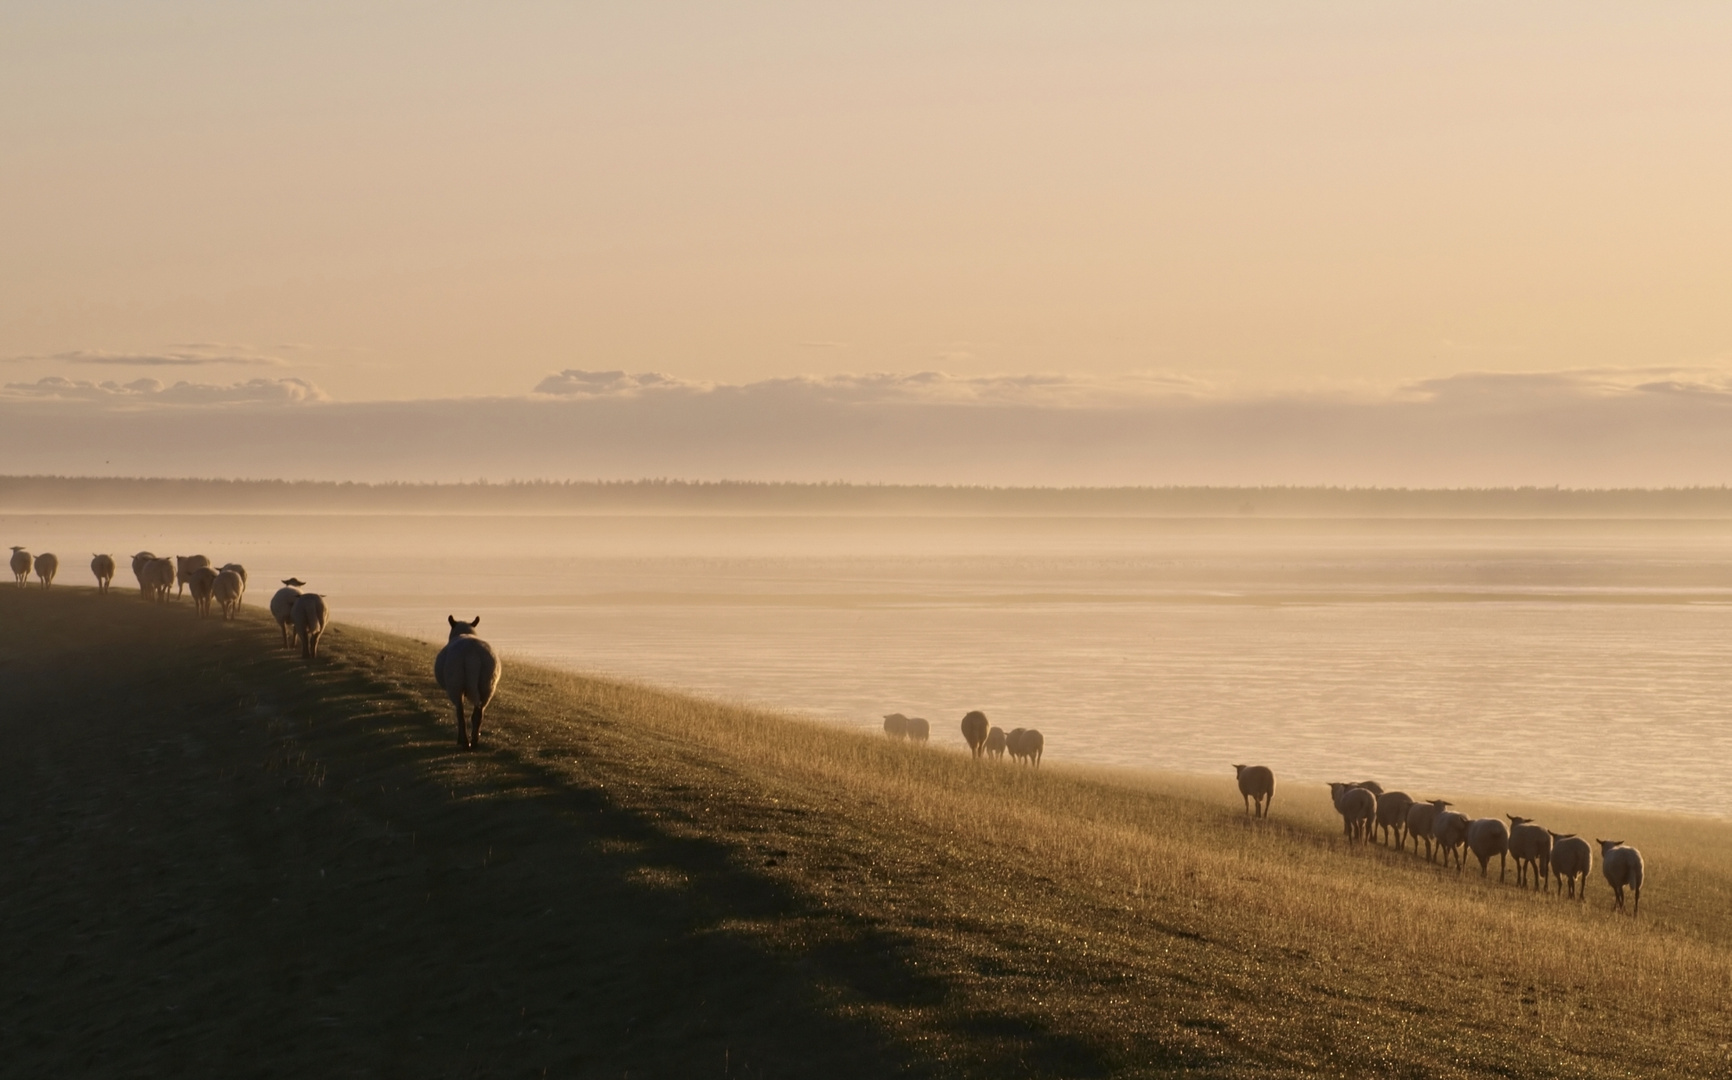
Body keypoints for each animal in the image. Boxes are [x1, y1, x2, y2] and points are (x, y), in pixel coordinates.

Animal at [433, 616, 502, 751]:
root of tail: (472, 655)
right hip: (487, 685)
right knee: (478, 714)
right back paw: (474, 741)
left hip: (455, 683)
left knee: (460, 713)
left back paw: (463, 741)